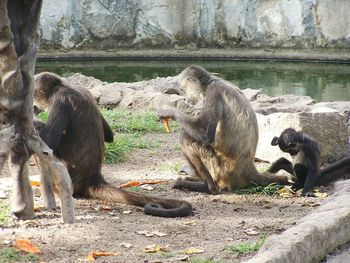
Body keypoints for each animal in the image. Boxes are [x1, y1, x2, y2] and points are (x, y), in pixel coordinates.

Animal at [157, 65, 288, 195]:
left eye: (183, 90)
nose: (185, 98)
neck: (213, 81)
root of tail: (249, 168)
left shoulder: (213, 90)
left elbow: (205, 134)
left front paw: (169, 112)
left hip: (220, 170)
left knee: (185, 136)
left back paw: (208, 188)